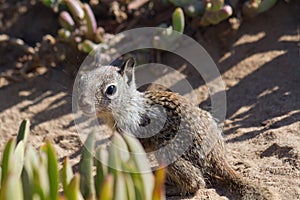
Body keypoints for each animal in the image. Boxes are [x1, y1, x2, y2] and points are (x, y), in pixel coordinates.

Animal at [78, 57, 276, 199]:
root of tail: (216, 156)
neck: (128, 105)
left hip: (167, 151)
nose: (83, 104)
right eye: (82, 84)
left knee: (197, 182)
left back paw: (169, 188)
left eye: (110, 90)